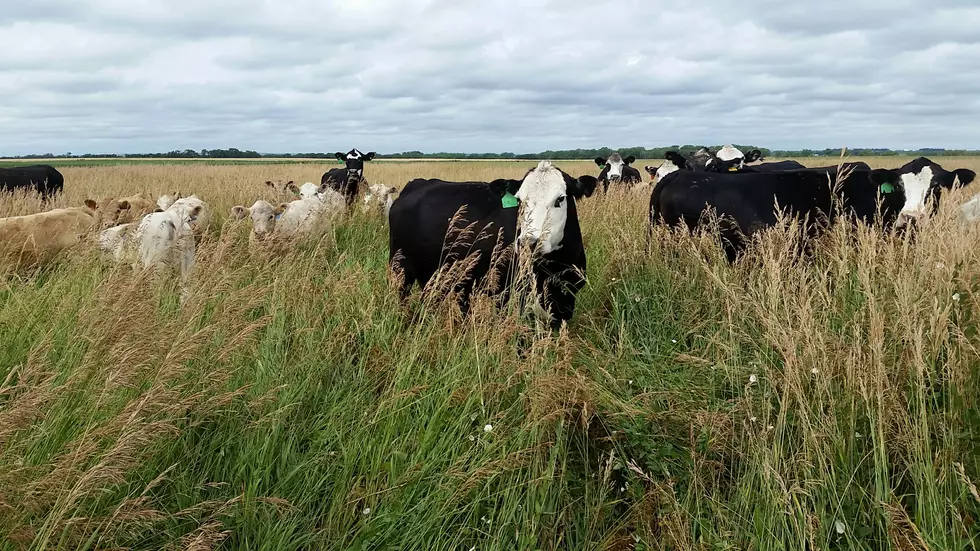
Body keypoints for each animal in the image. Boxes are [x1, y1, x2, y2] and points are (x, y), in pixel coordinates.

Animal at [388, 162, 596, 330]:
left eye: (560, 199)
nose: (528, 242)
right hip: (401, 269)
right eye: (519, 201)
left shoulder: (565, 300)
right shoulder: (508, 297)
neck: (552, 270)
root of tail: (417, 183)